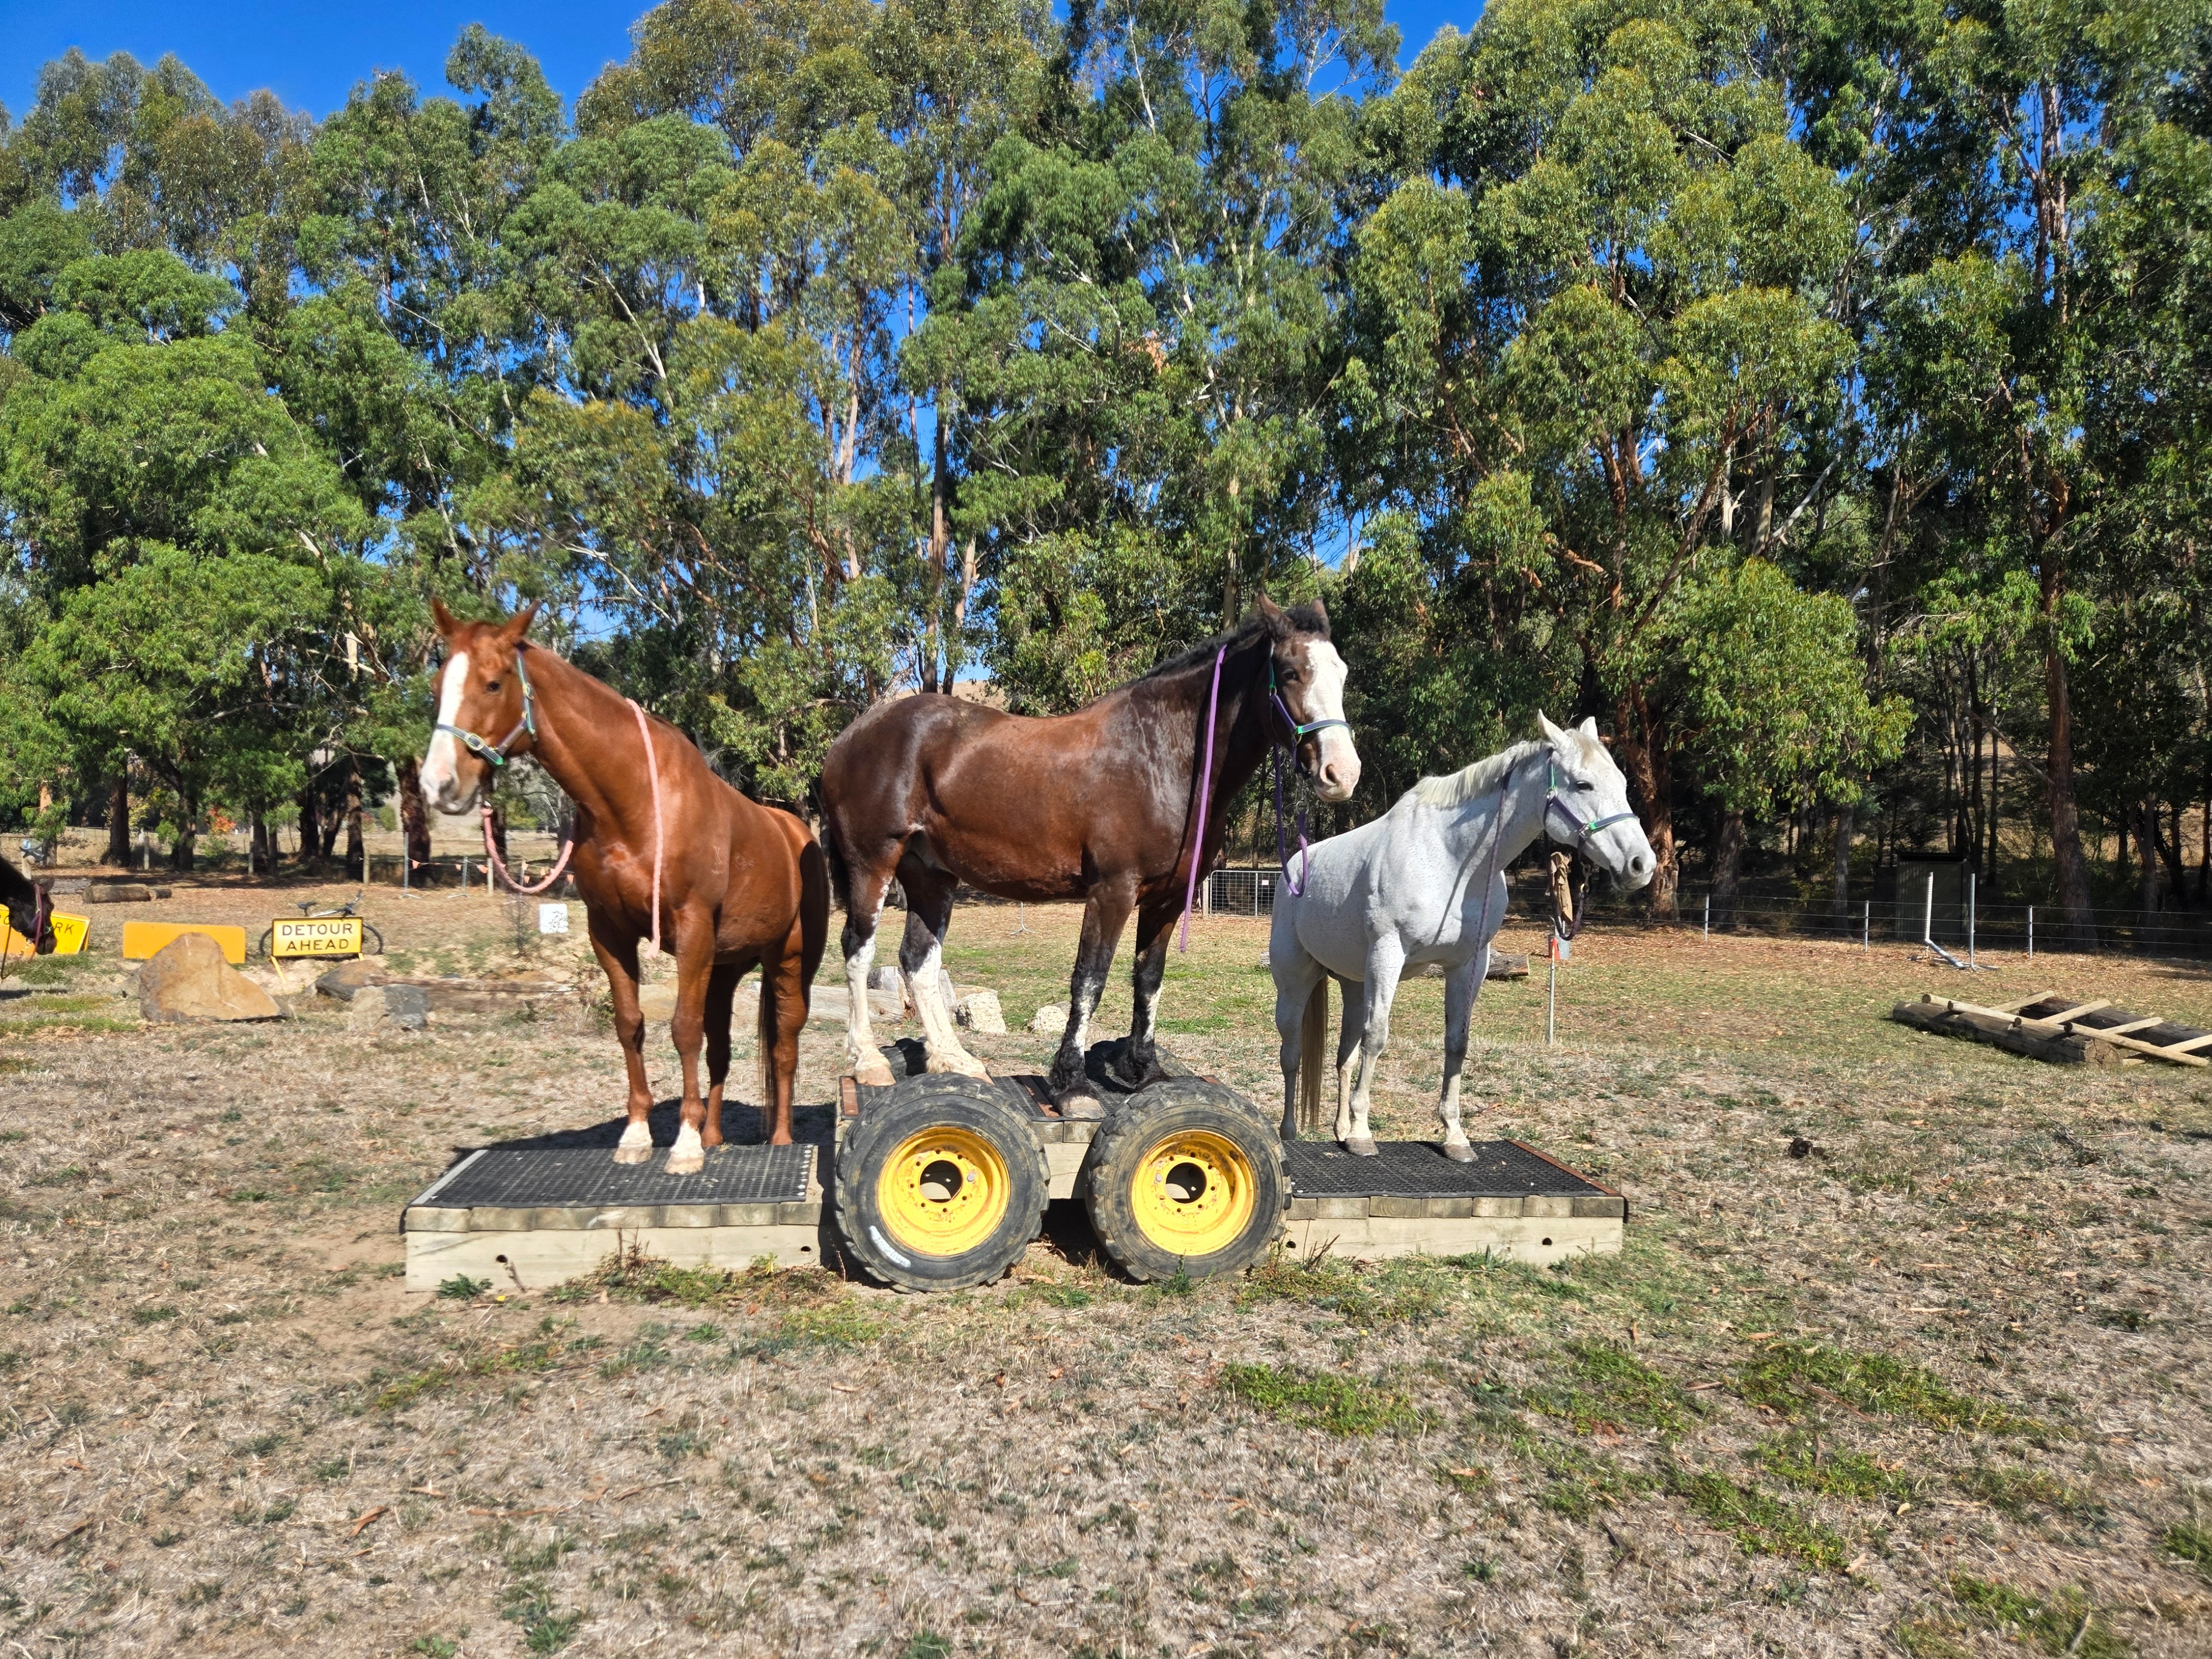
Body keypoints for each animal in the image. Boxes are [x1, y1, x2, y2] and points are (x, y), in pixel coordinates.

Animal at [418, 600, 830, 1172]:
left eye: (494, 684)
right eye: (438, 686)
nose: (438, 785)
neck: (634, 805)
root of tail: (798, 834)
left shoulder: (692, 930)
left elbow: (683, 1029)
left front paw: (683, 1144)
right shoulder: (609, 932)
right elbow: (631, 1023)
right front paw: (639, 1135)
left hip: (789, 961)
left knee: (784, 1047)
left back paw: (780, 1141)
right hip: (726, 966)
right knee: (722, 1048)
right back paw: (714, 1136)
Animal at [820, 597, 1361, 1112]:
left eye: (1342, 673)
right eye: (1290, 672)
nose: (1343, 773)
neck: (1162, 756)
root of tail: (850, 737)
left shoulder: (1165, 900)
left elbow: (1149, 979)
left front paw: (1146, 1070)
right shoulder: (1112, 891)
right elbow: (1090, 980)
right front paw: (1072, 1084)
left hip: (932, 876)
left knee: (918, 960)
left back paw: (953, 1060)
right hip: (874, 864)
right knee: (858, 949)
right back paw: (868, 1062)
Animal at [1269, 714, 1654, 1157]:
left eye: (1622, 784)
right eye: (1583, 784)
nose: (1642, 865)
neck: (1448, 858)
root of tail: (1294, 868)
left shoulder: (1470, 963)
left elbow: (1457, 1041)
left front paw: (1454, 1135)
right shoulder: (1387, 954)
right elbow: (1377, 1037)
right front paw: (1365, 1133)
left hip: (1353, 982)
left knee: (1343, 1056)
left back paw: (1341, 1130)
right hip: (1296, 981)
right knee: (1292, 1055)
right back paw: (1289, 1133)